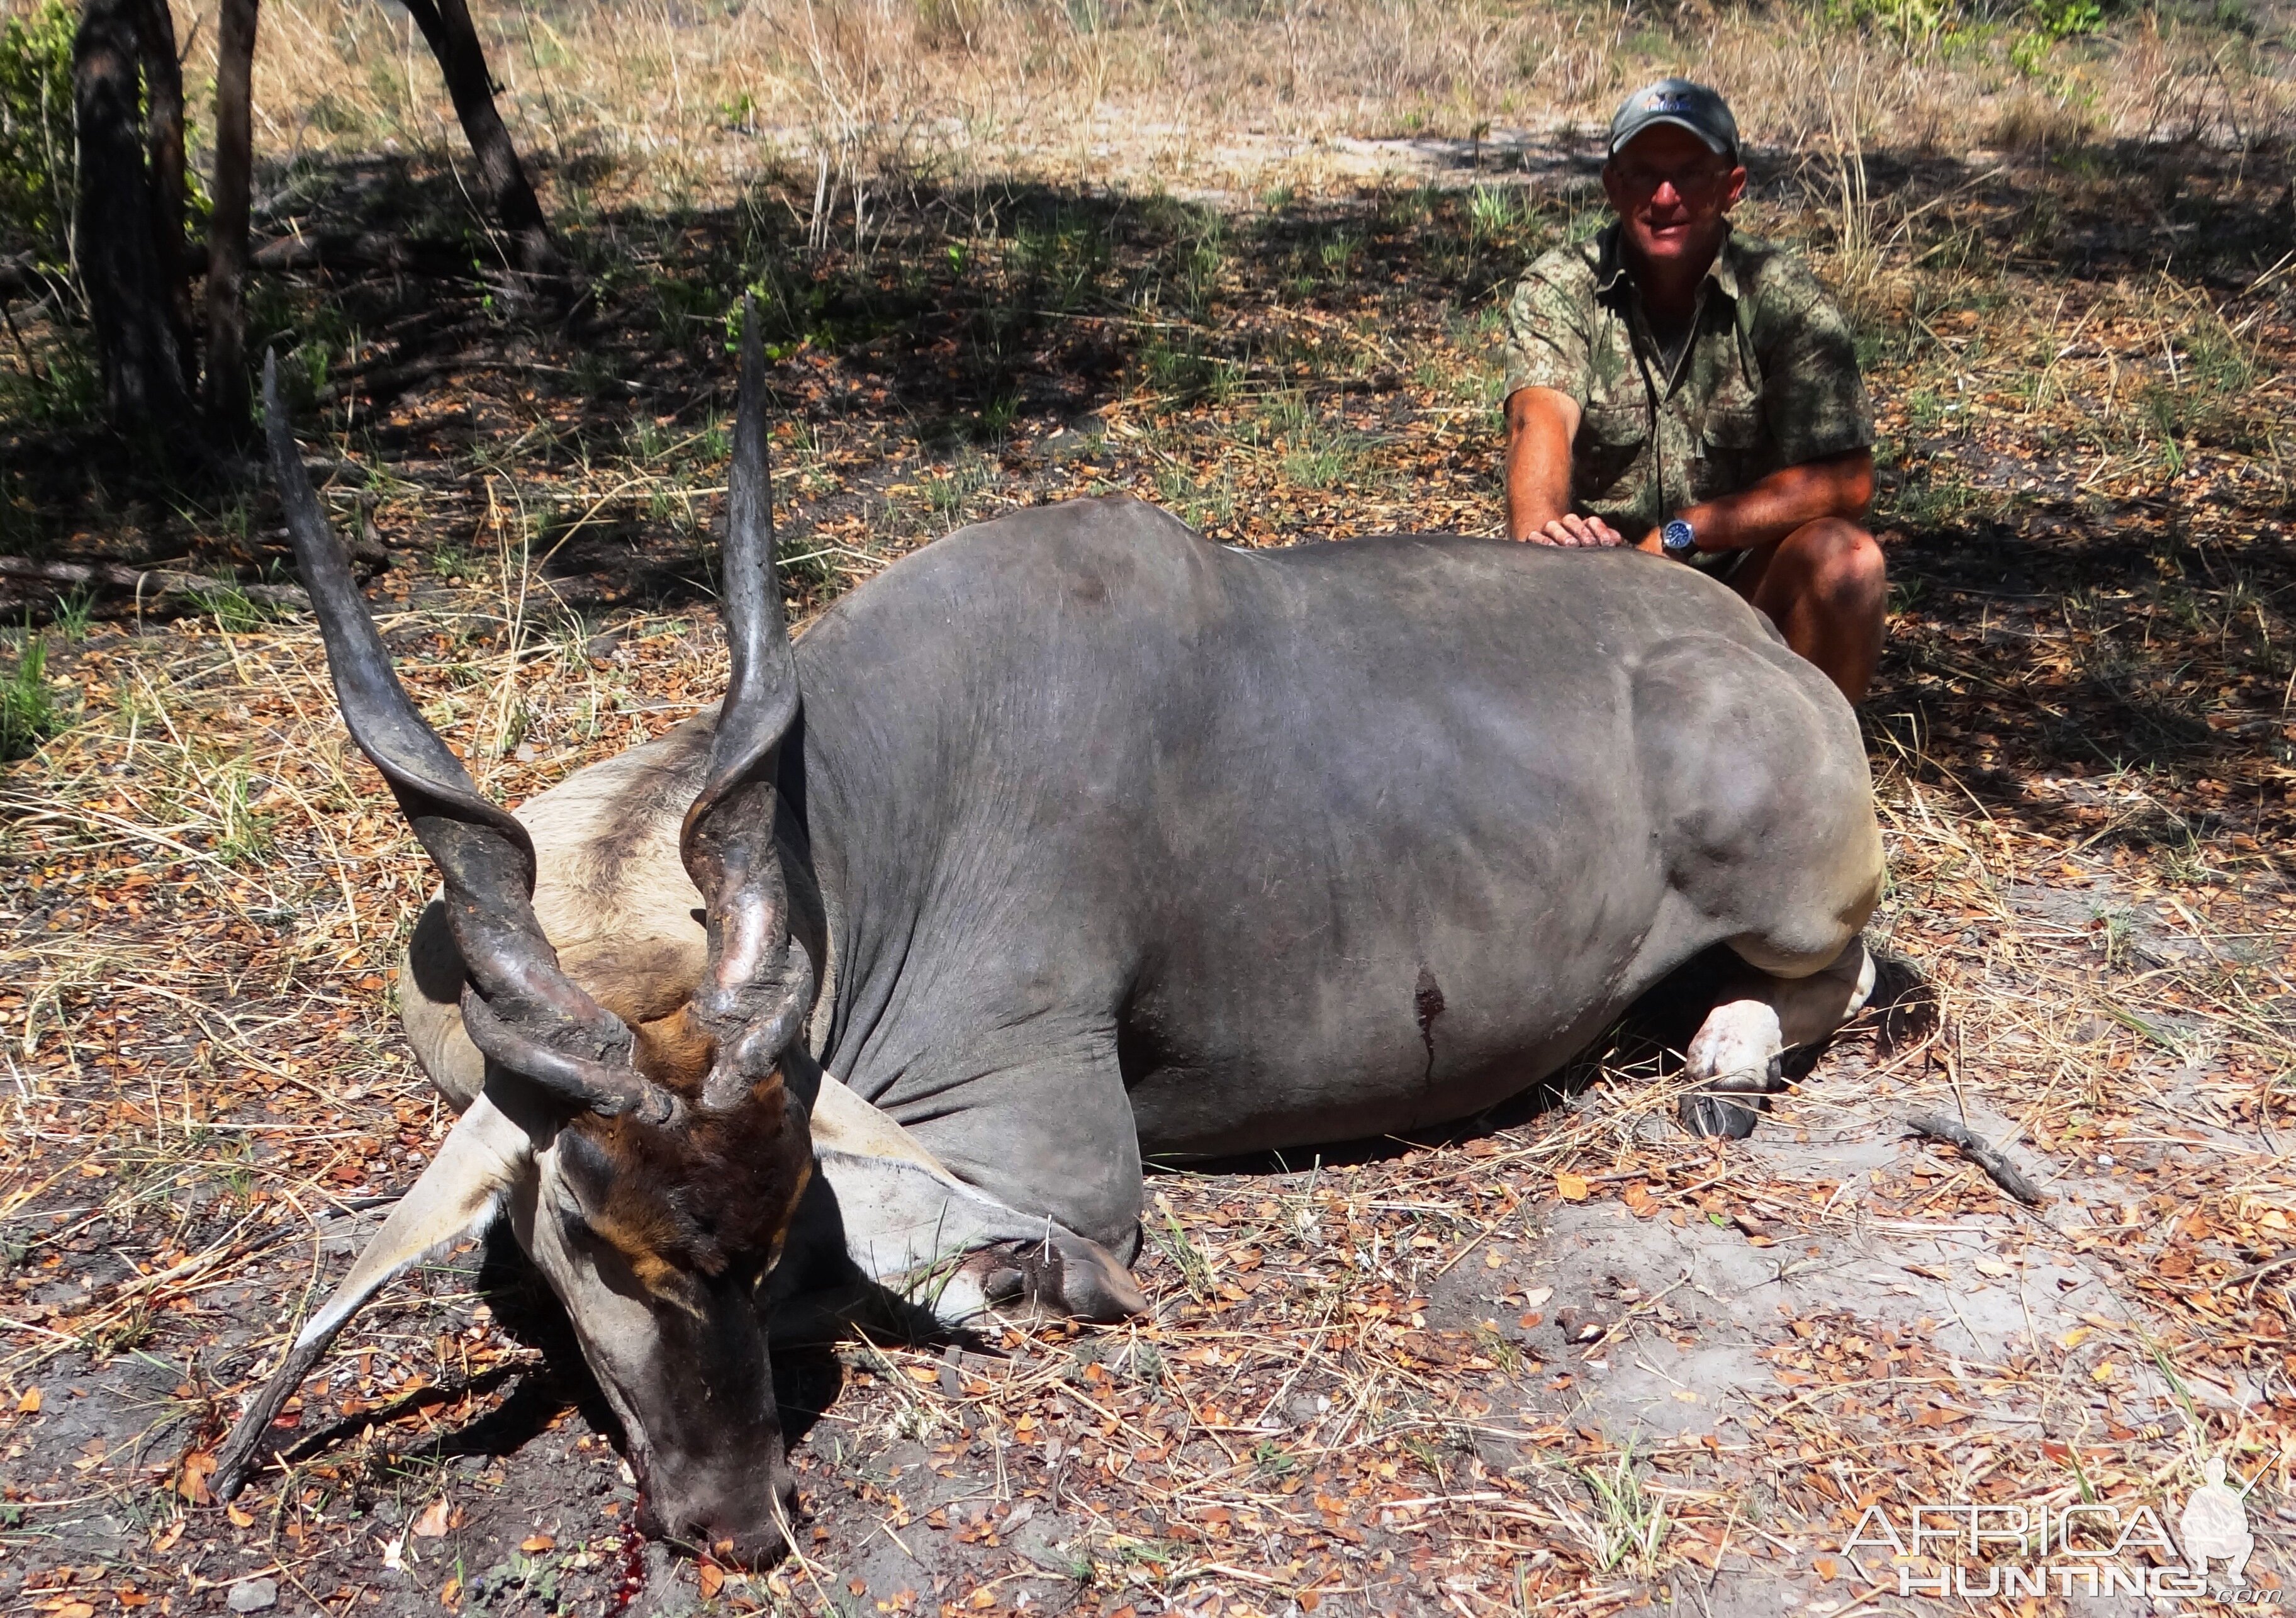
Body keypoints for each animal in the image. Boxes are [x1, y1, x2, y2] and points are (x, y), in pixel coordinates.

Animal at [216, 318, 1883, 1560]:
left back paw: (1727, 1058)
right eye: (577, 1223)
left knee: (1841, 971)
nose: (733, 1520)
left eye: (758, 1224)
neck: (857, 811)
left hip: (1802, 887)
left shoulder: (1054, 1153)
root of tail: (1755, 645)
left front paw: (1021, 1281)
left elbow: (905, 1246)